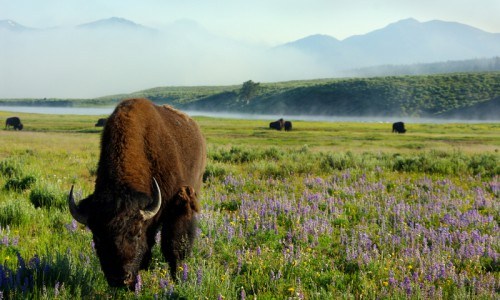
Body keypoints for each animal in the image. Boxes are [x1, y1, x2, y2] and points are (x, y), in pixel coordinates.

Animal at [68, 99, 205, 288]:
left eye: (137, 233)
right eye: (97, 237)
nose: (120, 279)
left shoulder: (178, 205)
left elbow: (173, 246)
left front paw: (178, 278)